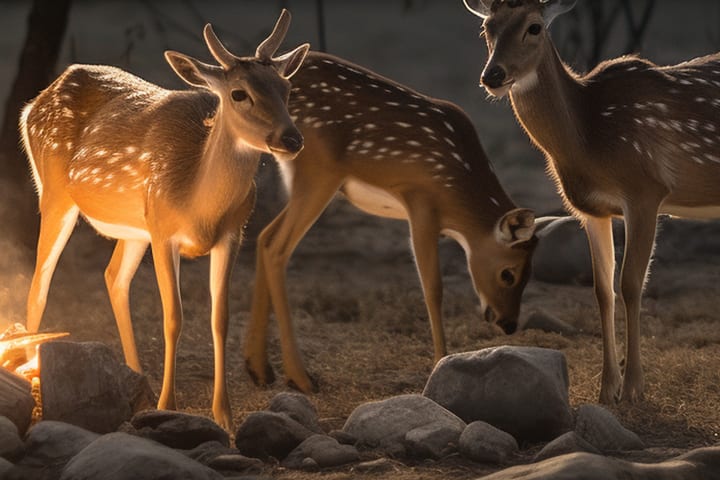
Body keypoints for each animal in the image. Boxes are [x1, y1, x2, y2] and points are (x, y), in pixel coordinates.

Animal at [20, 9, 309, 429]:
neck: (198, 203)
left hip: (133, 226)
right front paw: (168, 405)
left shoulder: (233, 234)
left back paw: (137, 381)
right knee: (39, 285)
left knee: (113, 277)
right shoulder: (163, 230)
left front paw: (224, 415)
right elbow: (173, 317)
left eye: (286, 88)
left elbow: (220, 319)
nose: (291, 139)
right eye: (239, 93)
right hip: (57, 196)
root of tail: (32, 104)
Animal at [243, 50, 556, 393]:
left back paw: (258, 370)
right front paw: (439, 363)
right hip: (318, 170)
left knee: (263, 236)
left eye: (531, 272)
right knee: (277, 246)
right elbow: (432, 288)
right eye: (508, 274)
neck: (458, 190)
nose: (509, 324)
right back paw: (299, 377)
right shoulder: (420, 200)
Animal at [462, 0, 720, 404]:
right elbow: (602, 290)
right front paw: (606, 389)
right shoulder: (590, 210)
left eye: (535, 27)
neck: (588, 139)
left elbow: (631, 283)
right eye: (487, 27)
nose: (493, 75)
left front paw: (633, 389)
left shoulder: (646, 191)